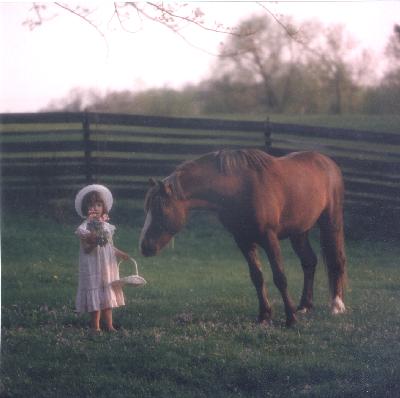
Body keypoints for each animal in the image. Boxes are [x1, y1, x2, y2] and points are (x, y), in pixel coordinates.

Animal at [139, 149, 346, 326]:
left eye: (160, 210)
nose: (144, 246)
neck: (240, 187)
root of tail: (326, 161)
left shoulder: (269, 238)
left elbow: (280, 277)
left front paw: (290, 318)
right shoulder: (243, 240)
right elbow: (257, 277)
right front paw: (264, 315)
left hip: (331, 221)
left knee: (336, 261)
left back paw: (336, 306)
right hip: (299, 231)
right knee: (309, 261)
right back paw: (305, 306)